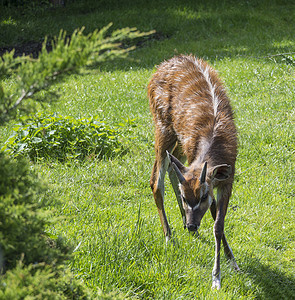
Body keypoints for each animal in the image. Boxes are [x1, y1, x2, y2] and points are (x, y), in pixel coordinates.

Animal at [148, 55, 240, 290]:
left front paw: (232, 262)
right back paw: (169, 236)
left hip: (177, 142)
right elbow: (217, 219)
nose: (191, 225)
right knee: (156, 180)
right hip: (162, 126)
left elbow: (218, 224)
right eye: (184, 196)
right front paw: (216, 278)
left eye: (203, 196)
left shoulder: (226, 179)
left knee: (172, 167)